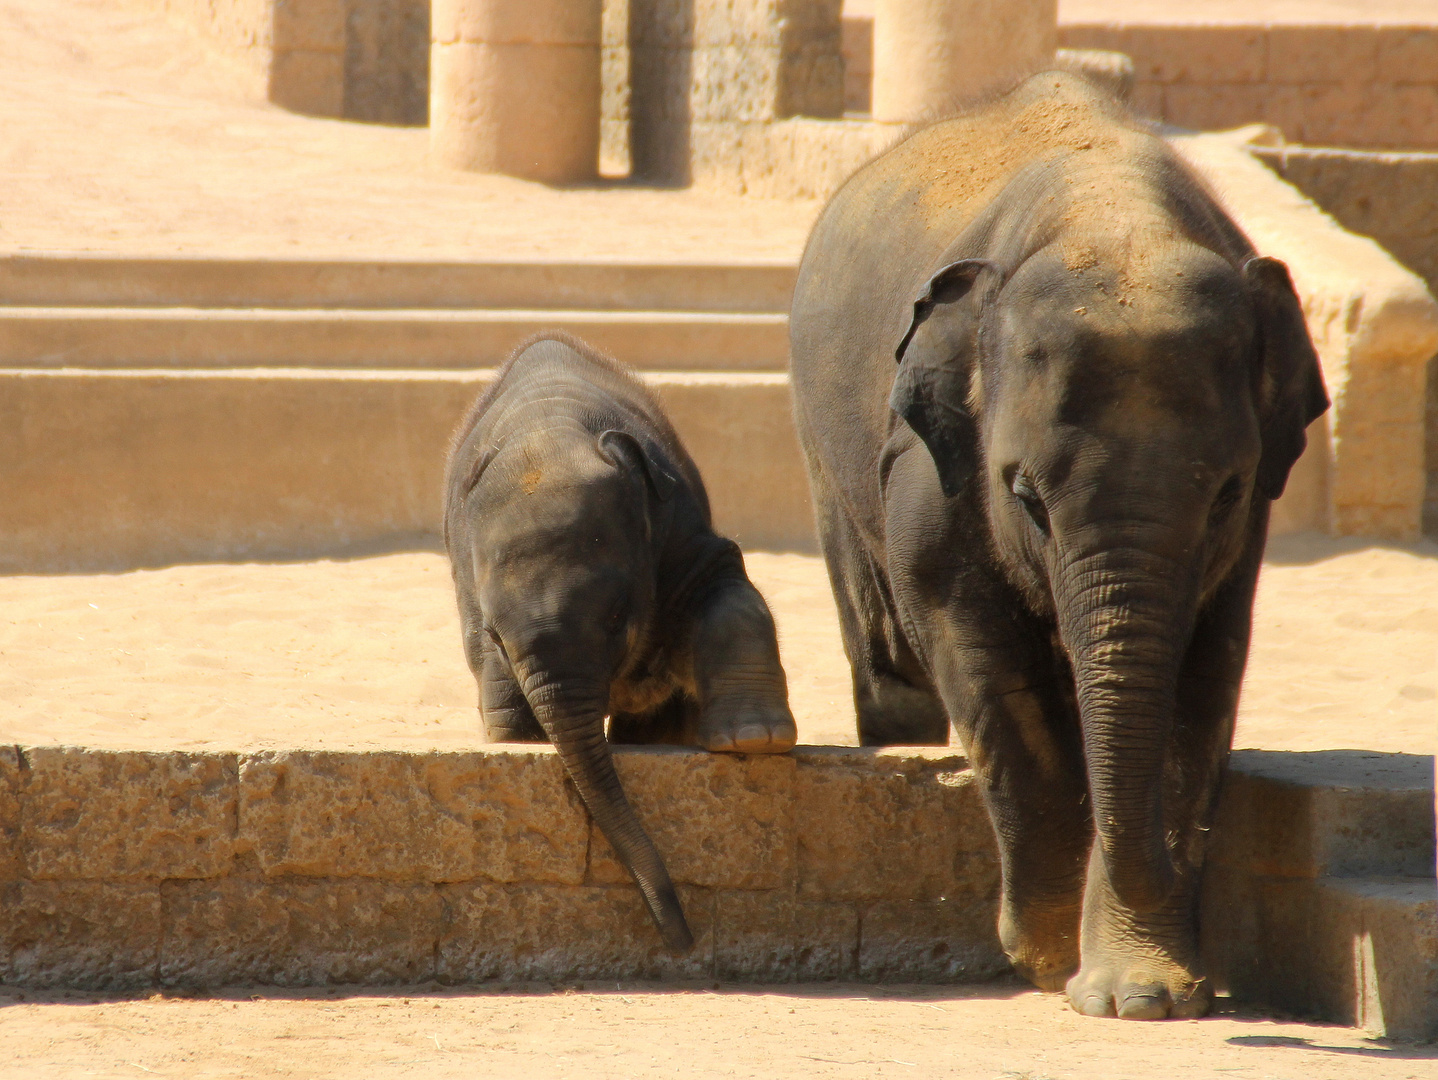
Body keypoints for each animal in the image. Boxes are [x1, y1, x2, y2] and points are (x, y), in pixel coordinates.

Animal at [440, 333, 793, 949]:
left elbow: (726, 587)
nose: (683, 940)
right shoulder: (466, 572)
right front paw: (518, 740)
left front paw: (756, 741)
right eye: (496, 635)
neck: (546, 430)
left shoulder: (677, 527)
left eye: (616, 615)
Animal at [788, 76, 1322, 1023]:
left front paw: (1142, 994)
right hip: (824, 449)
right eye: (1025, 496)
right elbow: (979, 657)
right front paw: (1041, 960)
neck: (1112, 217)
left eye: (1225, 493)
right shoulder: (929, 463)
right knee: (883, 645)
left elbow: (1201, 679)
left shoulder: (1246, 533)